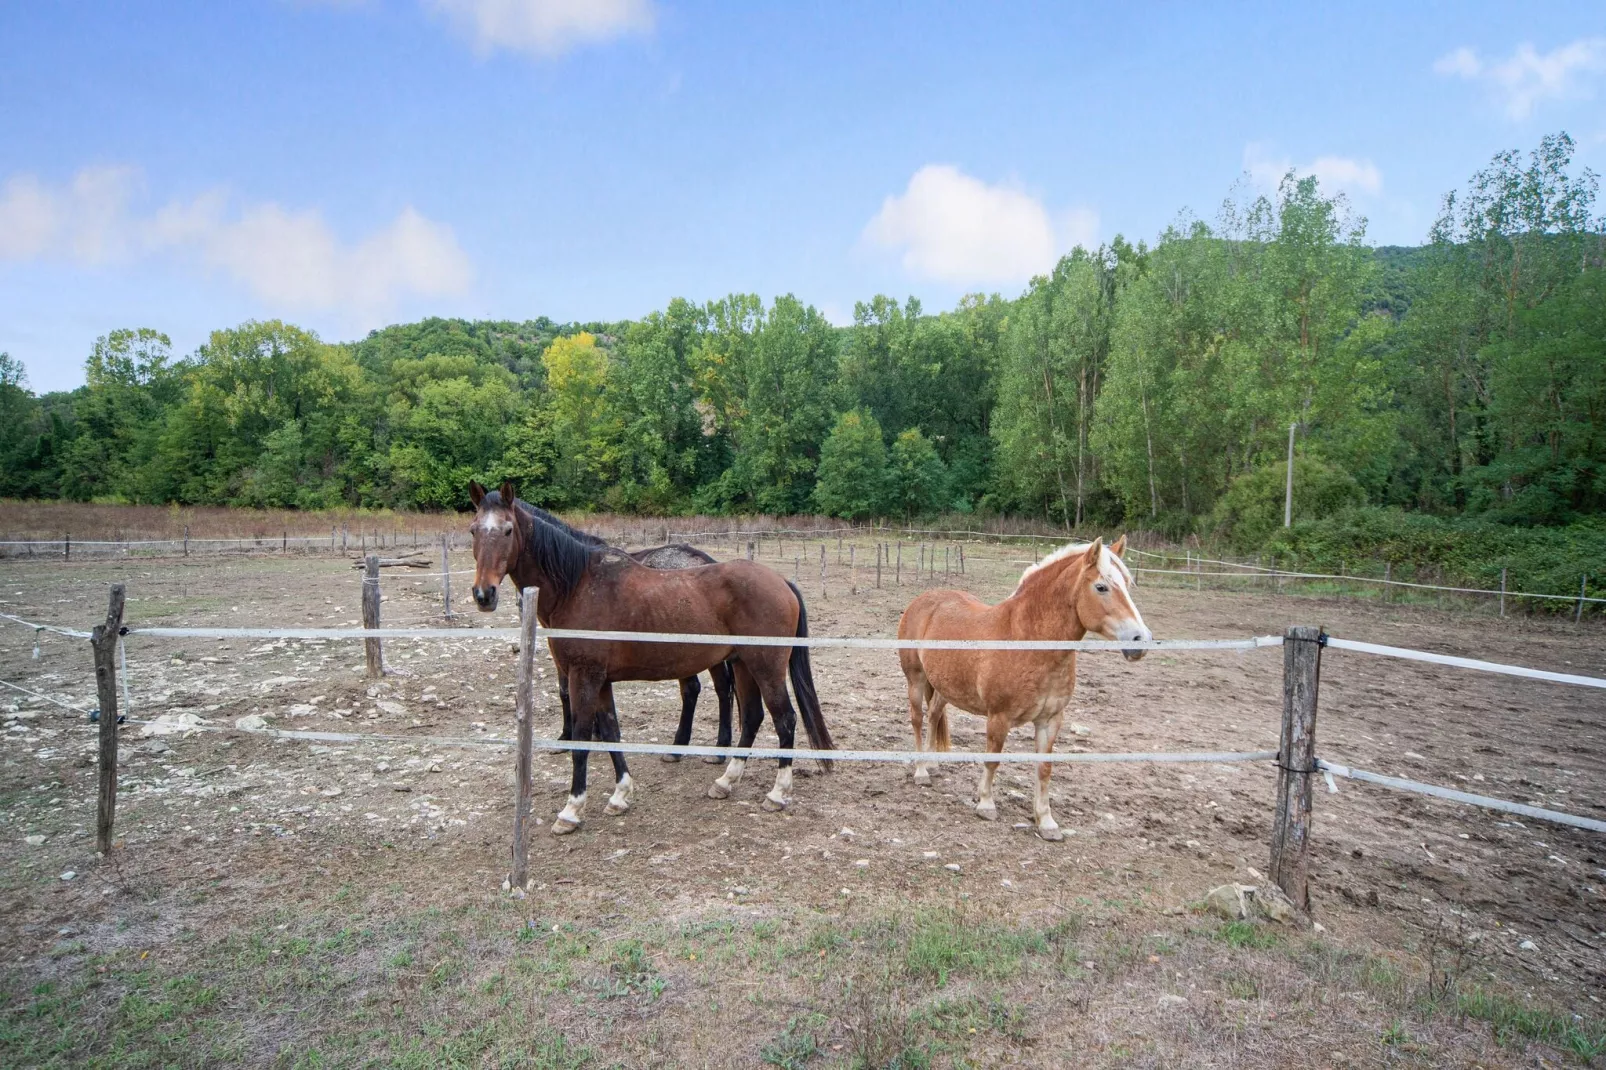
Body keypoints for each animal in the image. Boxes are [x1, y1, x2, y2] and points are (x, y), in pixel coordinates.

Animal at [899, 536, 1149, 835]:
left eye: (1128, 584)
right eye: (1101, 587)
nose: (1140, 640)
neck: (1028, 640)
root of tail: (923, 600)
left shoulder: (1050, 720)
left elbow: (1044, 768)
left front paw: (1046, 821)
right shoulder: (999, 717)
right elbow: (992, 758)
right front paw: (986, 804)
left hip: (945, 686)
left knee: (935, 715)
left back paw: (933, 762)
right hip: (916, 680)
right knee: (917, 719)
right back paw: (921, 770)